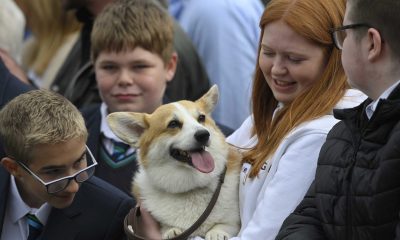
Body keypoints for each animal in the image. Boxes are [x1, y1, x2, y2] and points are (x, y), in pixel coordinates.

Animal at [106, 85, 242, 239]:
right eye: (173, 124)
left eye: (201, 118)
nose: (204, 134)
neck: (191, 187)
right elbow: (166, 227)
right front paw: (171, 230)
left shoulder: (234, 222)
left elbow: (225, 225)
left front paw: (217, 233)